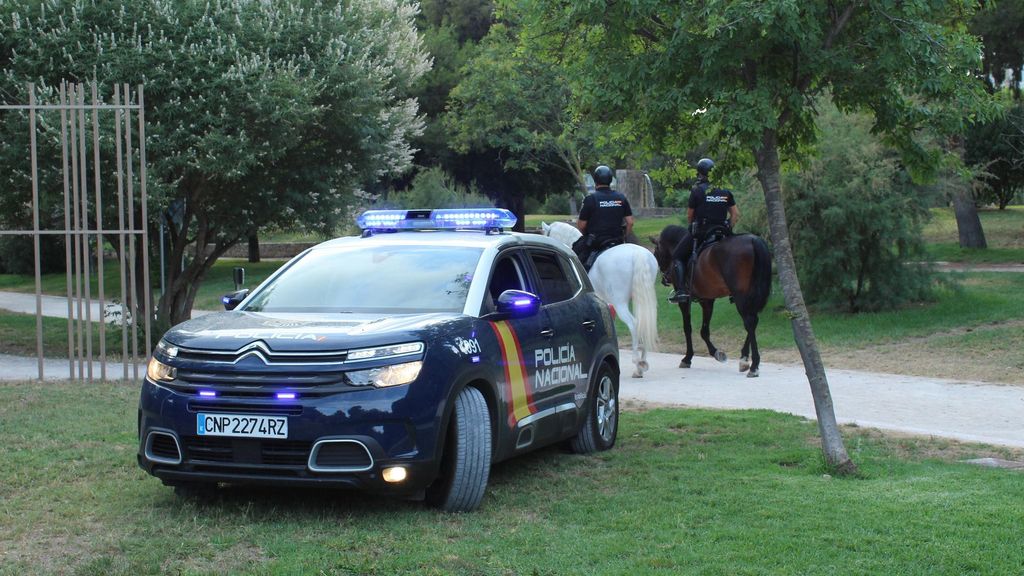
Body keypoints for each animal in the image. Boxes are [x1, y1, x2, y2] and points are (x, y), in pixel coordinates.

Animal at [540, 219, 659, 377]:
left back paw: (637, 363)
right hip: (642, 298)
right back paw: (642, 364)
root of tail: (638, 254)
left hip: (620, 302)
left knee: (634, 324)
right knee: (644, 323)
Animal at [651, 224, 770, 377]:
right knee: (753, 321)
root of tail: (753, 240)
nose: (664, 278)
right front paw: (717, 353)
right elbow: (704, 330)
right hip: (749, 295)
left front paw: (688, 358)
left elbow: (688, 328)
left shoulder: (685, 302)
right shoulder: (707, 301)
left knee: (749, 322)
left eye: (656, 252)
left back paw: (754, 365)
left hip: (741, 296)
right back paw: (744, 359)